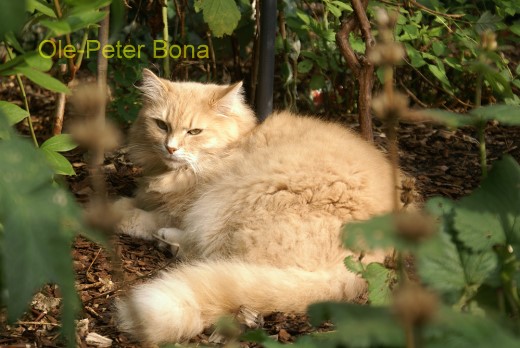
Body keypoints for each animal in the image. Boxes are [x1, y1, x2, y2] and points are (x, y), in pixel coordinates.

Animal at [115, 69, 402, 344]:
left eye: (194, 132)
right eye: (161, 125)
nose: (170, 148)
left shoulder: (184, 208)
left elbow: (145, 215)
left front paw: (117, 213)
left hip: (228, 202)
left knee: (208, 252)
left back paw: (167, 240)